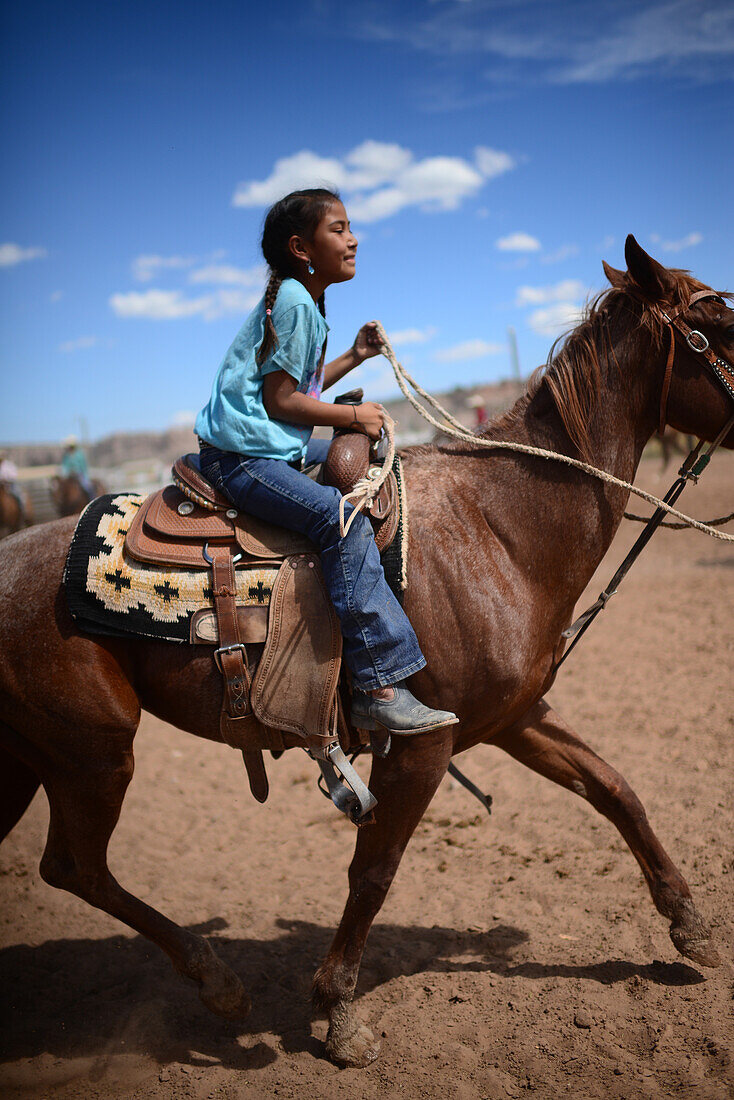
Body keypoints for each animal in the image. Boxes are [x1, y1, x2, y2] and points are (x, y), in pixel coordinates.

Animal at [1, 238, 734, 1064]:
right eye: (722, 320)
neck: (499, 526)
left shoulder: (514, 717)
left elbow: (615, 790)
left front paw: (691, 926)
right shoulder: (424, 743)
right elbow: (375, 869)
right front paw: (339, 1010)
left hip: (30, 759)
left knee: (66, 865)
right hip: (91, 751)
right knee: (76, 864)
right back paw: (217, 981)